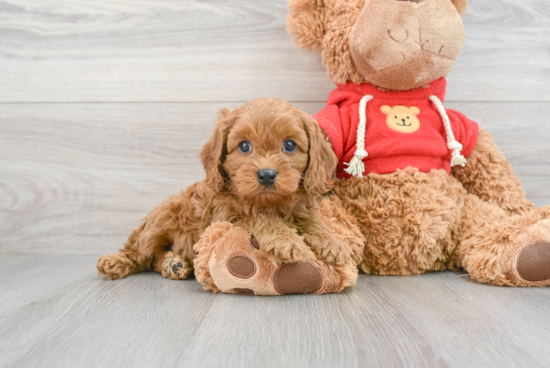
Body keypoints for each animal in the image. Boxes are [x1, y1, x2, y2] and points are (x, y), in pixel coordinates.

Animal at [99, 98, 366, 296]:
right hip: (158, 225)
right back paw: (115, 262)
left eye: (289, 145)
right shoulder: (226, 213)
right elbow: (259, 217)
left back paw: (174, 264)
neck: (271, 203)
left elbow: (312, 222)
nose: (266, 175)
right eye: (244, 146)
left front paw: (332, 242)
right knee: (139, 253)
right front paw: (286, 240)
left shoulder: (301, 207)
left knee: (153, 260)